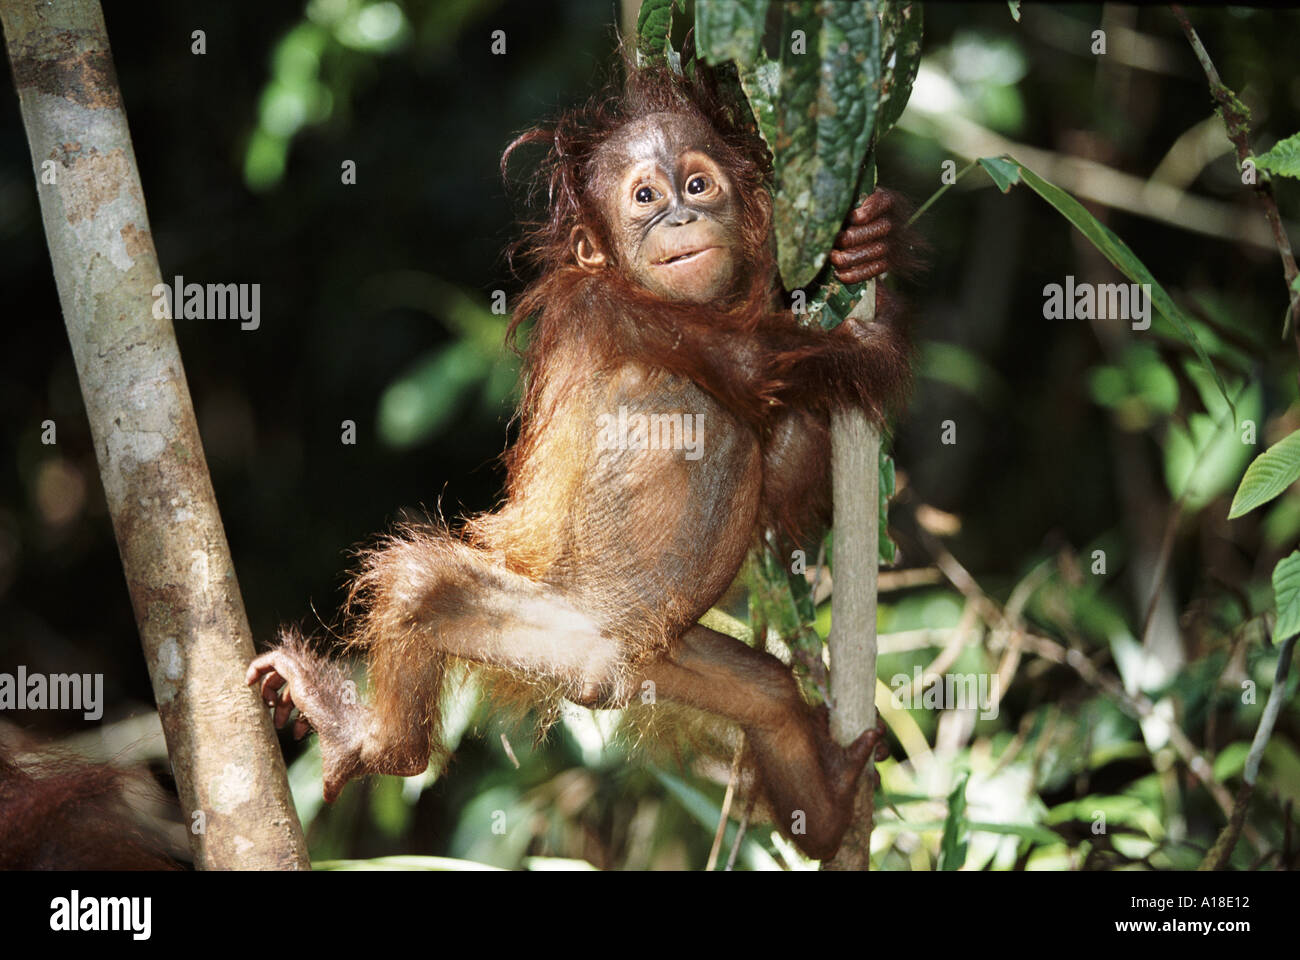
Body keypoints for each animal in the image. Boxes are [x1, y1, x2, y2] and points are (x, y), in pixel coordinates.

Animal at [248, 64, 917, 861]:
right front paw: (876, 334)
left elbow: (781, 483)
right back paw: (371, 745)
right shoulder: (613, 309)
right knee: (421, 585)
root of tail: (612, 673)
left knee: (772, 697)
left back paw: (829, 804)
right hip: (559, 632)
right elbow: (758, 365)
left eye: (698, 185)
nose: (679, 220)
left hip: (670, 661)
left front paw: (870, 245)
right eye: (645, 198)